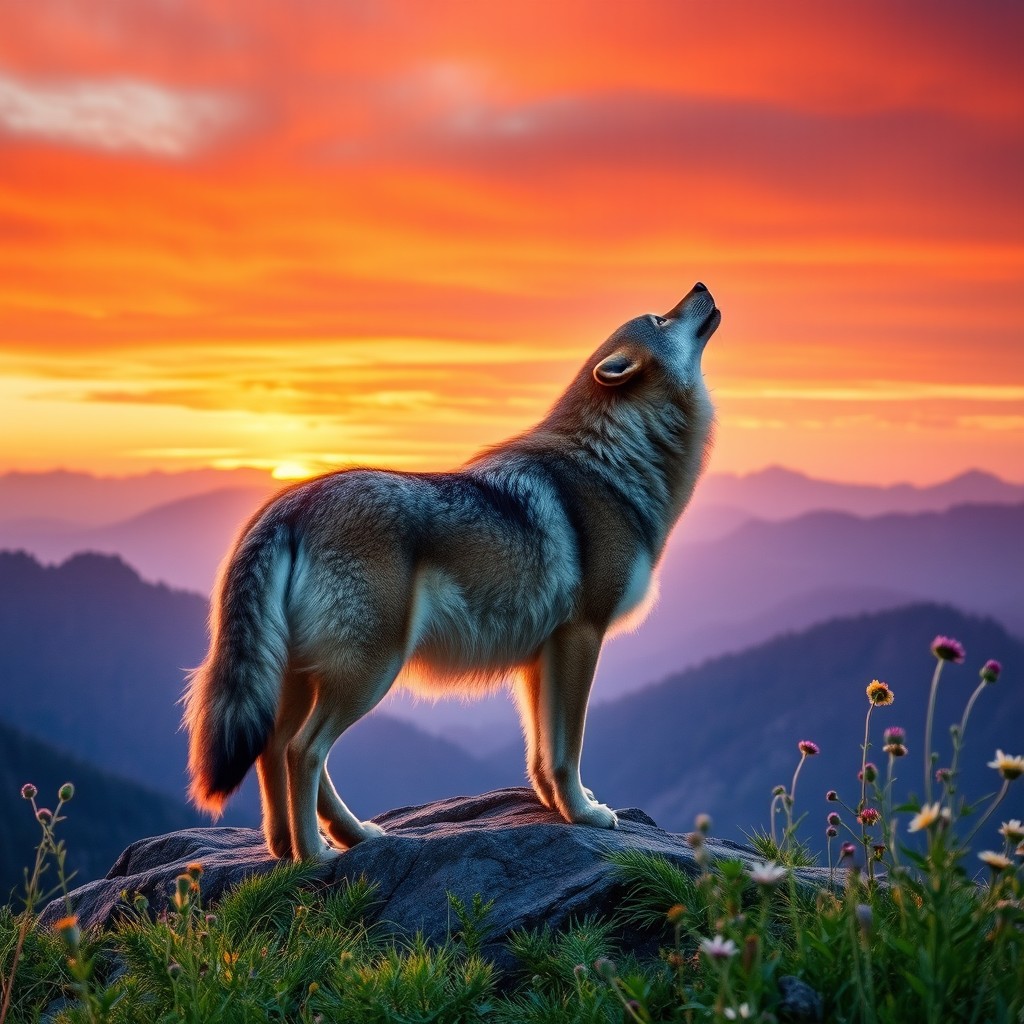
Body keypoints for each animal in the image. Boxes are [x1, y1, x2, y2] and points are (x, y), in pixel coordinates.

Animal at [183, 283, 720, 860]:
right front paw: (585, 815)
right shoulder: (582, 636)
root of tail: (289, 504)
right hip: (369, 671)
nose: (701, 286)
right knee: (301, 751)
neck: (613, 461)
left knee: (275, 747)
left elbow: (541, 755)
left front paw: (555, 808)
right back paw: (316, 854)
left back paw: (316, 842)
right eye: (660, 320)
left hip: (309, 677)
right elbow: (567, 749)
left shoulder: (542, 655)